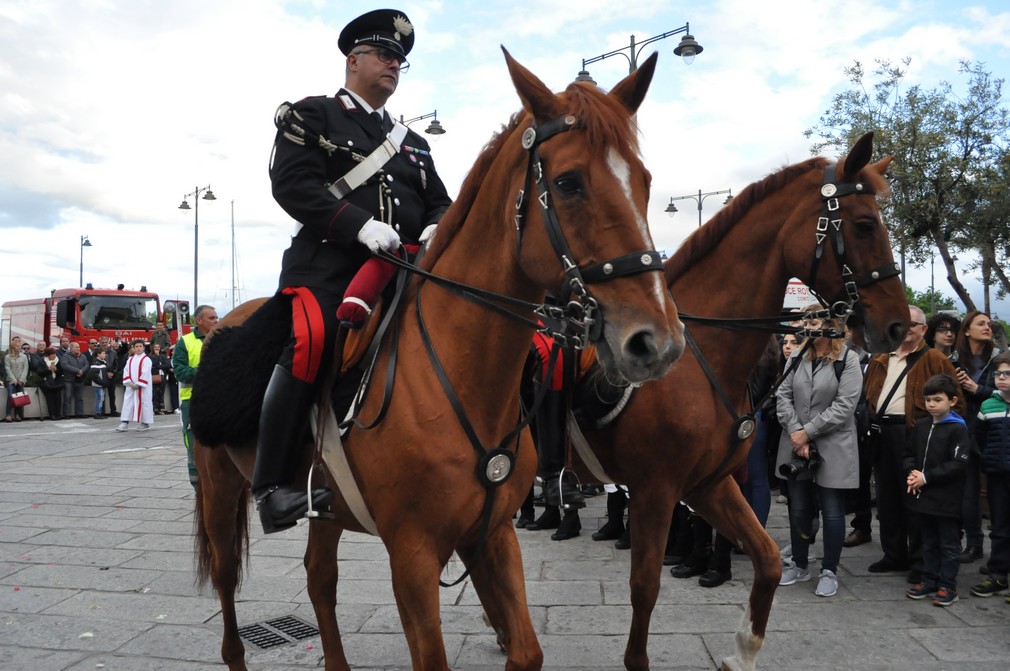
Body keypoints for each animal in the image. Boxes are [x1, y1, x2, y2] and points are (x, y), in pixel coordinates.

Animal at [192, 49, 682, 666]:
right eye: (568, 183)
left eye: (644, 181)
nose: (657, 341)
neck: (460, 373)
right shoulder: (413, 554)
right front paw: (378, 234)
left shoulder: (491, 532)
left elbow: (527, 649)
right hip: (219, 488)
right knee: (226, 578)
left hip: (325, 506)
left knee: (318, 576)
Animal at [573, 132, 913, 671]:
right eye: (864, 224)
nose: (898, 326)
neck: (697, 358)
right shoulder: (656, 490)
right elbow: (645, 589)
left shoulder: (709, 484)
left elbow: (770, 559)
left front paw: (742, 651)